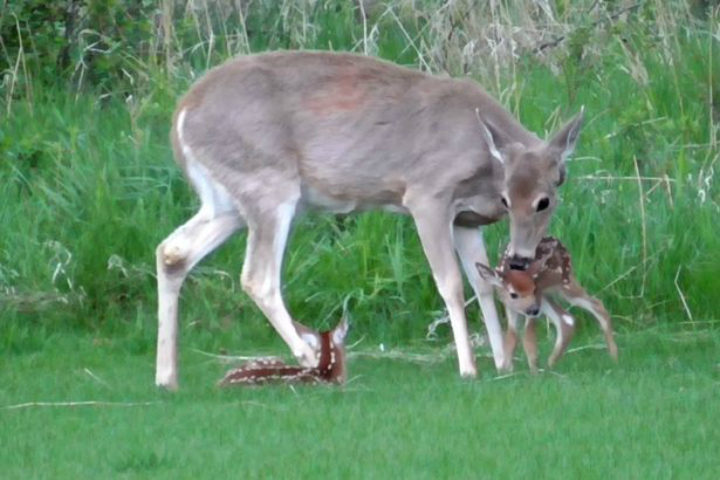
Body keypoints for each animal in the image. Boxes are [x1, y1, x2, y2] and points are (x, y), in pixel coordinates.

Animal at [155, 51, 584, 390]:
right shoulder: (427, 195)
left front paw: (502, 363)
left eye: (546, 199)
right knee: (257, 277)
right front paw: (468, 368)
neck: (482, 157)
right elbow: (450, 283)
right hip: (268, 184)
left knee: (172, 251)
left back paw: (166, 377)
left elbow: (482, 284)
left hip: (226, 202)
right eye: (509, 200)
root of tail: (180, 116)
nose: (521, 258)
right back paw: (309, 357)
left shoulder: (466, 219)